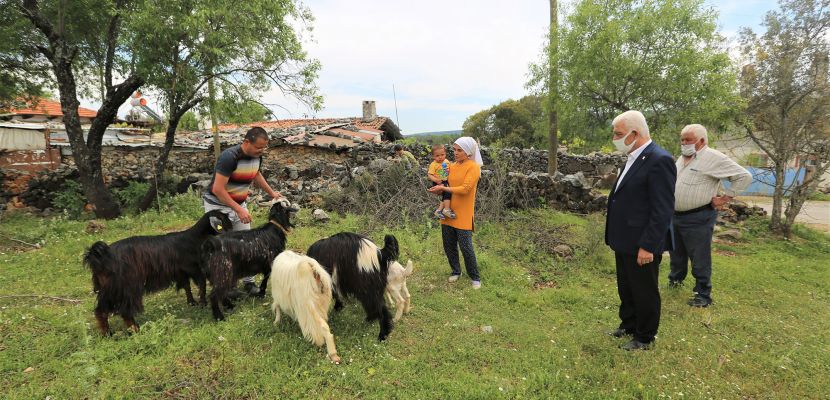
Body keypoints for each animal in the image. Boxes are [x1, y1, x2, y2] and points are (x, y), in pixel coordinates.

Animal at [83, 209, 231, 334]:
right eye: (224, 218)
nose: (231, 227)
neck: (194, 237)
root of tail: (101, 256)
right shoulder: (196, 269)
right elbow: (202, 286)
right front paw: (202, 303)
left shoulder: (181, 272)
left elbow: (187, 286)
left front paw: (192, 303)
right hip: (127, 286)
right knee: (125, 311)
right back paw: (136, 330)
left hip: (108, 288)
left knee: (101, 311)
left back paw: (107, 333)